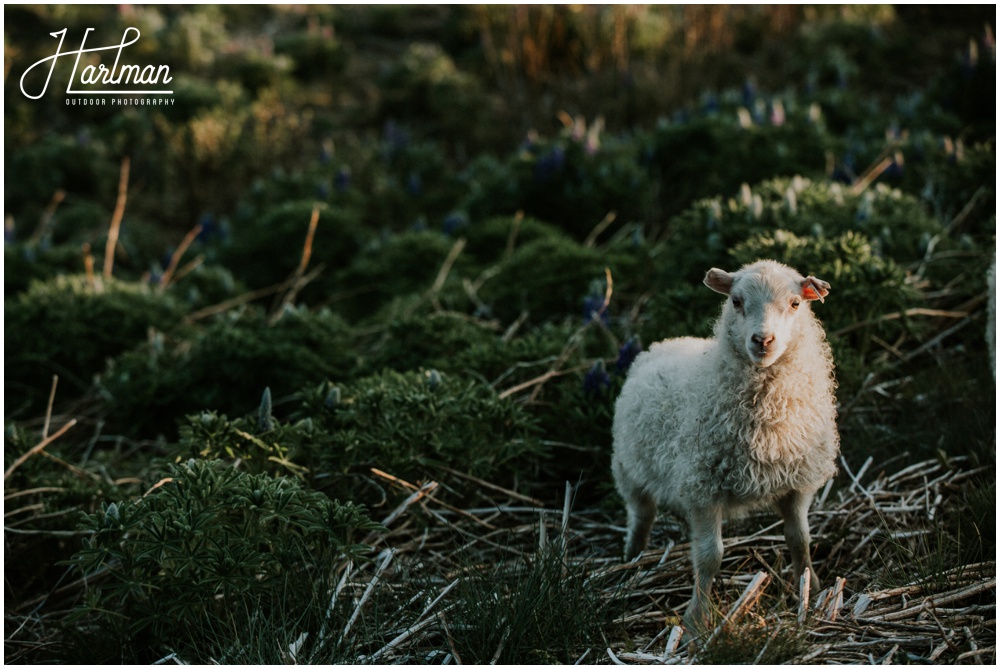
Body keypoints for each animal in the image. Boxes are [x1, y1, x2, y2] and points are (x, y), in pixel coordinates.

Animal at [612, 258, 840, 628]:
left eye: (795, 303)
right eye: (736, 301)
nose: (763, 340)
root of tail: (665, 343)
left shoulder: (797, 484)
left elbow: (800, 540)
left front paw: (811, 587)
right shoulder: (703, 488)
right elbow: (709, 557)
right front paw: (696, 619)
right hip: (629, 469)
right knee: (641, 515)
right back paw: (631, 557)